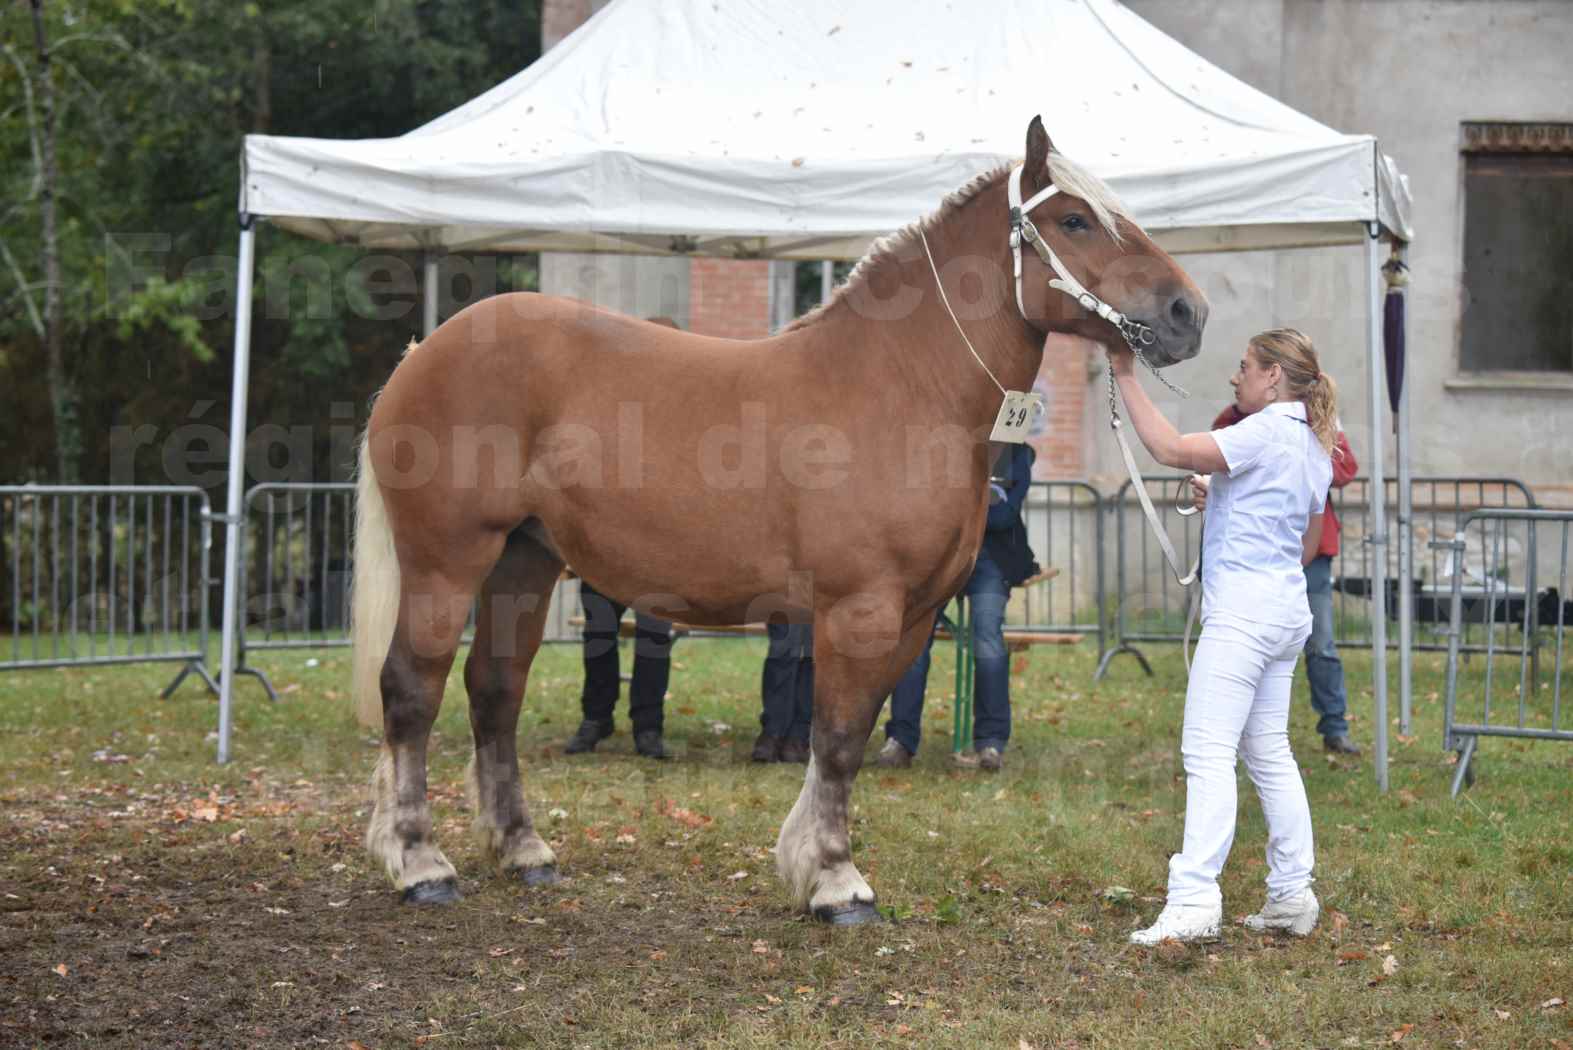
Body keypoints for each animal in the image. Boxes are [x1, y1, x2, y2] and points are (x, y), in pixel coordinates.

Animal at [347, 117, 1201, 917]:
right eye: (1074, 220)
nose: (1186, 312)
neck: (900, 387)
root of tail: (425, 352)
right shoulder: (858, 610)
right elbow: (837, 738)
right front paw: (834, 881)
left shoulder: (914, 618)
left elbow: (845, 740)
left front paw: (810, 865)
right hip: (448, 559)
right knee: (411, 689)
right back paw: (419, 862)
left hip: (524, 559)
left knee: (494, 689)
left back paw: (523, 849)